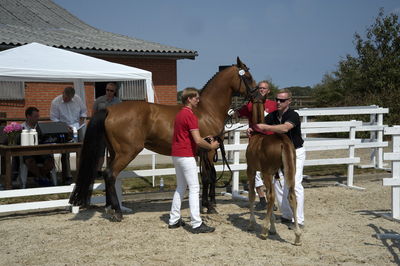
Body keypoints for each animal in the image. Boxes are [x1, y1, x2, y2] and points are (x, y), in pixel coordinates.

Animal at [69, 56, 256, 220]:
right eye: (247, 76)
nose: (258, 95)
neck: (207, 110)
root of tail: (110, 110)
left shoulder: (203, 152)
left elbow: (206, 176)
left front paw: (207, 204)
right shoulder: (208, 151)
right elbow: (209, 177)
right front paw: (209, 207)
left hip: (114, 152)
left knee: (110, 176)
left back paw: (110, 208)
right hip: (127, 152)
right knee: (110, 174)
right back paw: (118, 212)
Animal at [245, 91, 302, 245]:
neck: (257, 135)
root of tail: (283, 141)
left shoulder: (252, 170)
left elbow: (252, 195)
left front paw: (252, 224)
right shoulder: (274, 174)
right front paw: (273, 228)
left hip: (265, 173)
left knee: (270, 196)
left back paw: (263, 231)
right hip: (289, 172)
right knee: (292, 196)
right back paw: (297, 236)